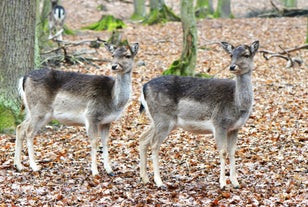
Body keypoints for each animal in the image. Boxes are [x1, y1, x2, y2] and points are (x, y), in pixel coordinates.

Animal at [14, 41, 140, 176]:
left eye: (127, 55)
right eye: (113, 55)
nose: (114, 66)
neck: (113, 100)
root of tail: (24, 78)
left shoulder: (107, 121)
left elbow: (105, 142)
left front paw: (109, 170)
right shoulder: (91, 115)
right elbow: (94, 142)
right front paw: (95, 171)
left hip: (32, 111)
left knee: (20, 127)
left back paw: (19, 165)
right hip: (39, 109)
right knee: (29, 132)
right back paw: (34, 166)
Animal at [140, 40, 260, 189]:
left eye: (246, 54)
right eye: (231, 55)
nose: (232, 67)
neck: (238, 104)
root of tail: (144, 87)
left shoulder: (235, 128)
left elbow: (232, 151)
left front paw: (235, 182)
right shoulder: (219, 123)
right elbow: (223, 151)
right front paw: (222, 183)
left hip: (157, 120)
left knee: (143, 138)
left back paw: (145, 178)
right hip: (163, 119)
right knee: (154, 144)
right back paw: (159, 181)